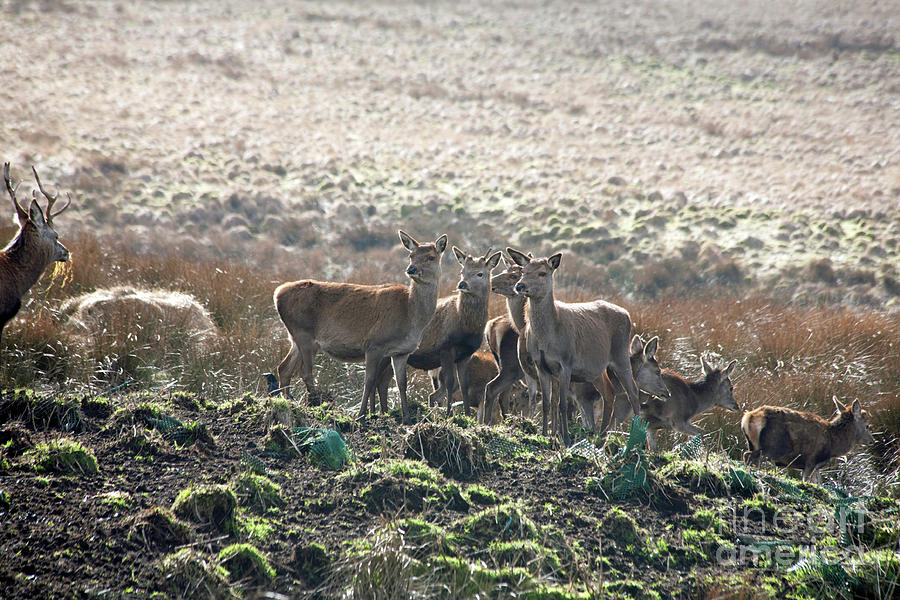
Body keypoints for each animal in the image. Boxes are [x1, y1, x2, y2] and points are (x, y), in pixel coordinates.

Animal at [270, 230, 446, 422]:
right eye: (411, 255)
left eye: (430, 257)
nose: (411, 269)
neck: (411, 316)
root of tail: (277, 294)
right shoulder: (373, 344)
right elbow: (369, 380)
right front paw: (361, 415)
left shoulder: (402, 352)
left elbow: (402, 383)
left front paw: (406, 418)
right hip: (304, 333)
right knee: (305, 372)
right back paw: (315, 405)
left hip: (295, 337)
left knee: (284, 368)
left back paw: (288, 402)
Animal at [372, 246, 500, 414]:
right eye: (462, 271)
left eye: (480, 273)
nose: (462, 284)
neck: (466, 327)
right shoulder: (445, 348)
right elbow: (451, 383)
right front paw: (449, 414)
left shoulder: (466, 353)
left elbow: (464, 385)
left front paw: (466, 413)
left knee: (382, 382)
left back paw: (384, 411)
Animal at [506, 247, 640, 446]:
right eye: (523, 271)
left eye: (542, 273)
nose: (520, 286)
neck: (547, 339)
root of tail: (627, 314)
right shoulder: (540, 365)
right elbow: (546, 403)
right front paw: (545, 435)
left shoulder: (566, 363)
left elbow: (562, 404)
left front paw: (566, 439)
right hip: (596, 369)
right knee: (610, 392)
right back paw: (601, 435)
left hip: (621, 355)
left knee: (634, 392)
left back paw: (639, 440)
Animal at [740, 396, 872, 486]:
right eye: (867, 425)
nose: (872, 440)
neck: (833, 445)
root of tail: (748, 417)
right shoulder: (811, 460)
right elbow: (807, 480)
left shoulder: (815, 467)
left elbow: (819, 483)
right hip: (775, 447)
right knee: (749, 456)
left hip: (753, 444)